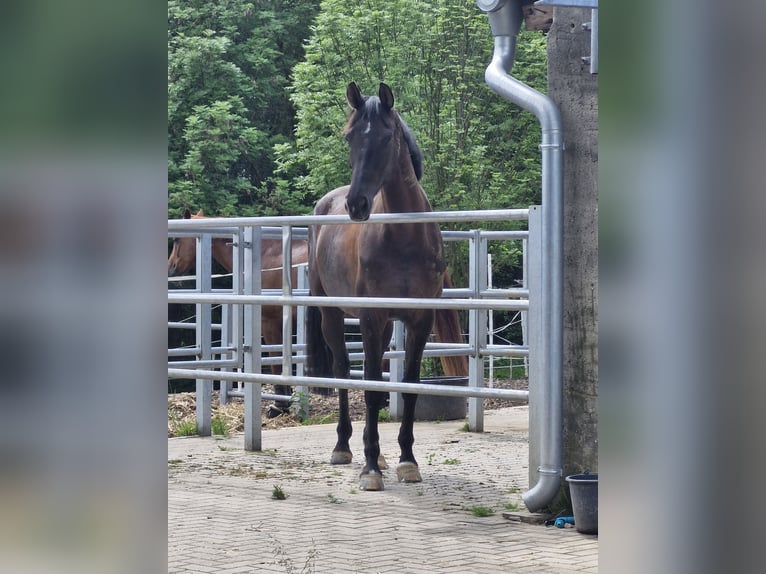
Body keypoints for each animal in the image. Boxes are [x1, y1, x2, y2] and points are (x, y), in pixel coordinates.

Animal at [308, 82, 468, 490]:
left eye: (385, 137)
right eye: (349, 136)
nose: (357, 205)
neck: (404, 237)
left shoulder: (419, 320)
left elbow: (408, 386)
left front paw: (407, 461)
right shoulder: (371, 317)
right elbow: (368, 386)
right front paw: (370, 469)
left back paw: (377, 451)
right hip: (332, 315)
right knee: (344, 374)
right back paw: (345, 447)